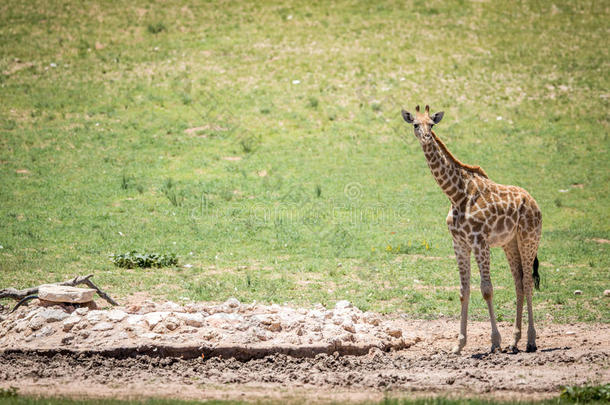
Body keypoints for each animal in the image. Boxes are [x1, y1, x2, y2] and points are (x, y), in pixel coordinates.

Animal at [400, 105, 540, 354]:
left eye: (432, 125)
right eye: (415, 124)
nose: (426, 138)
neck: (456, 195)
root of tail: (535, 203)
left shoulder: (479, 241)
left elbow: (487, 289)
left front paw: (494, 342)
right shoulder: (459, 243)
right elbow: (463, 291)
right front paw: (459, 344)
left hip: (529, 239)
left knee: (527, 282)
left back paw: (530, 341)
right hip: (509, 243)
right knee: (518, 283)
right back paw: (515, 341)